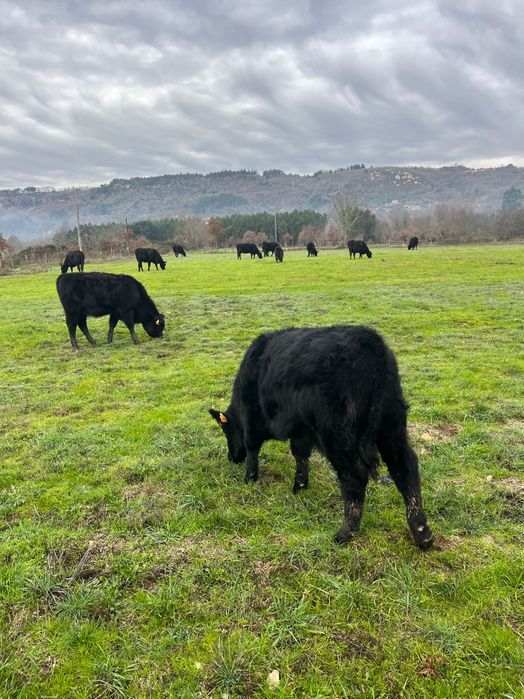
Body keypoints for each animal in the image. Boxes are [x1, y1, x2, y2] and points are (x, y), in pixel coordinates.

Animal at [209, 325, 433, 550]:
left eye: (226, 430)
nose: (232, 457)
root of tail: (370, 342)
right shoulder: (301, 430)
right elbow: (300, 454)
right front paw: (300, 485)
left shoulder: (252, 419)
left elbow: (253, 448)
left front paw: (250, 478)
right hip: (392, 424)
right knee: (405, 467)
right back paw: (423, 534)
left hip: (338, 436)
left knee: (355, 476)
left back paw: (345, 533)